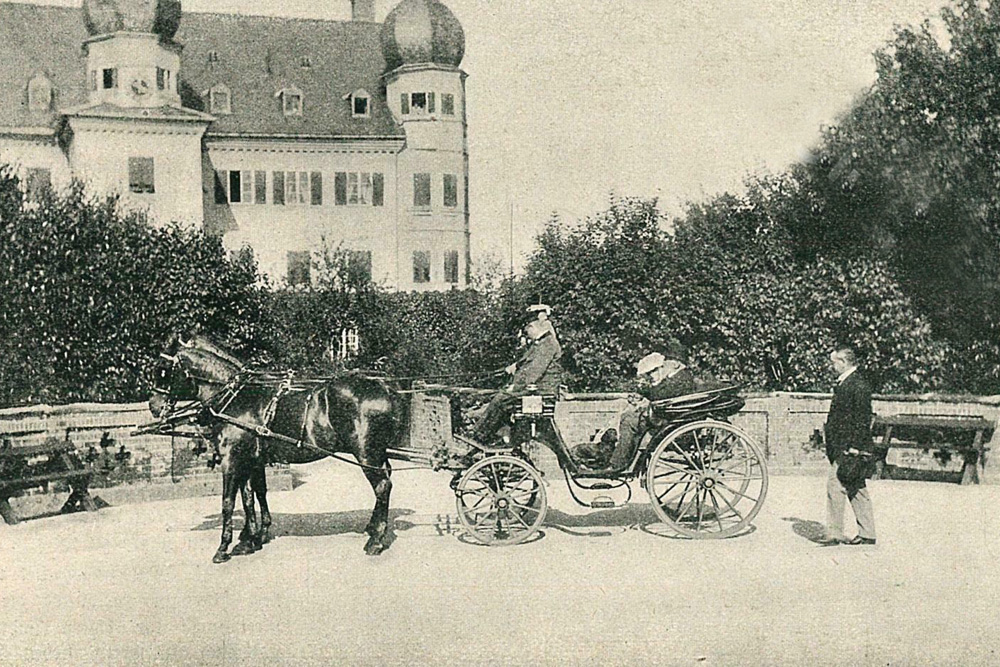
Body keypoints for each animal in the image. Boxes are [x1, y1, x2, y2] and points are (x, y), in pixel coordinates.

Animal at [146, 334, 404, 564]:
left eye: (162, 370)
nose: (153, 406)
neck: (236, 397)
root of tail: (384, 386)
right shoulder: (251, 460)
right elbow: (251, 496)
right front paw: (250, 539)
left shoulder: (231, 460)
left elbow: (228, 502)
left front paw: (224, 547)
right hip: (376, 453)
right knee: (386, 480)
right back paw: (373, 528)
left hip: (366, 452)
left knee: (382, 486)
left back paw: (375, 541)